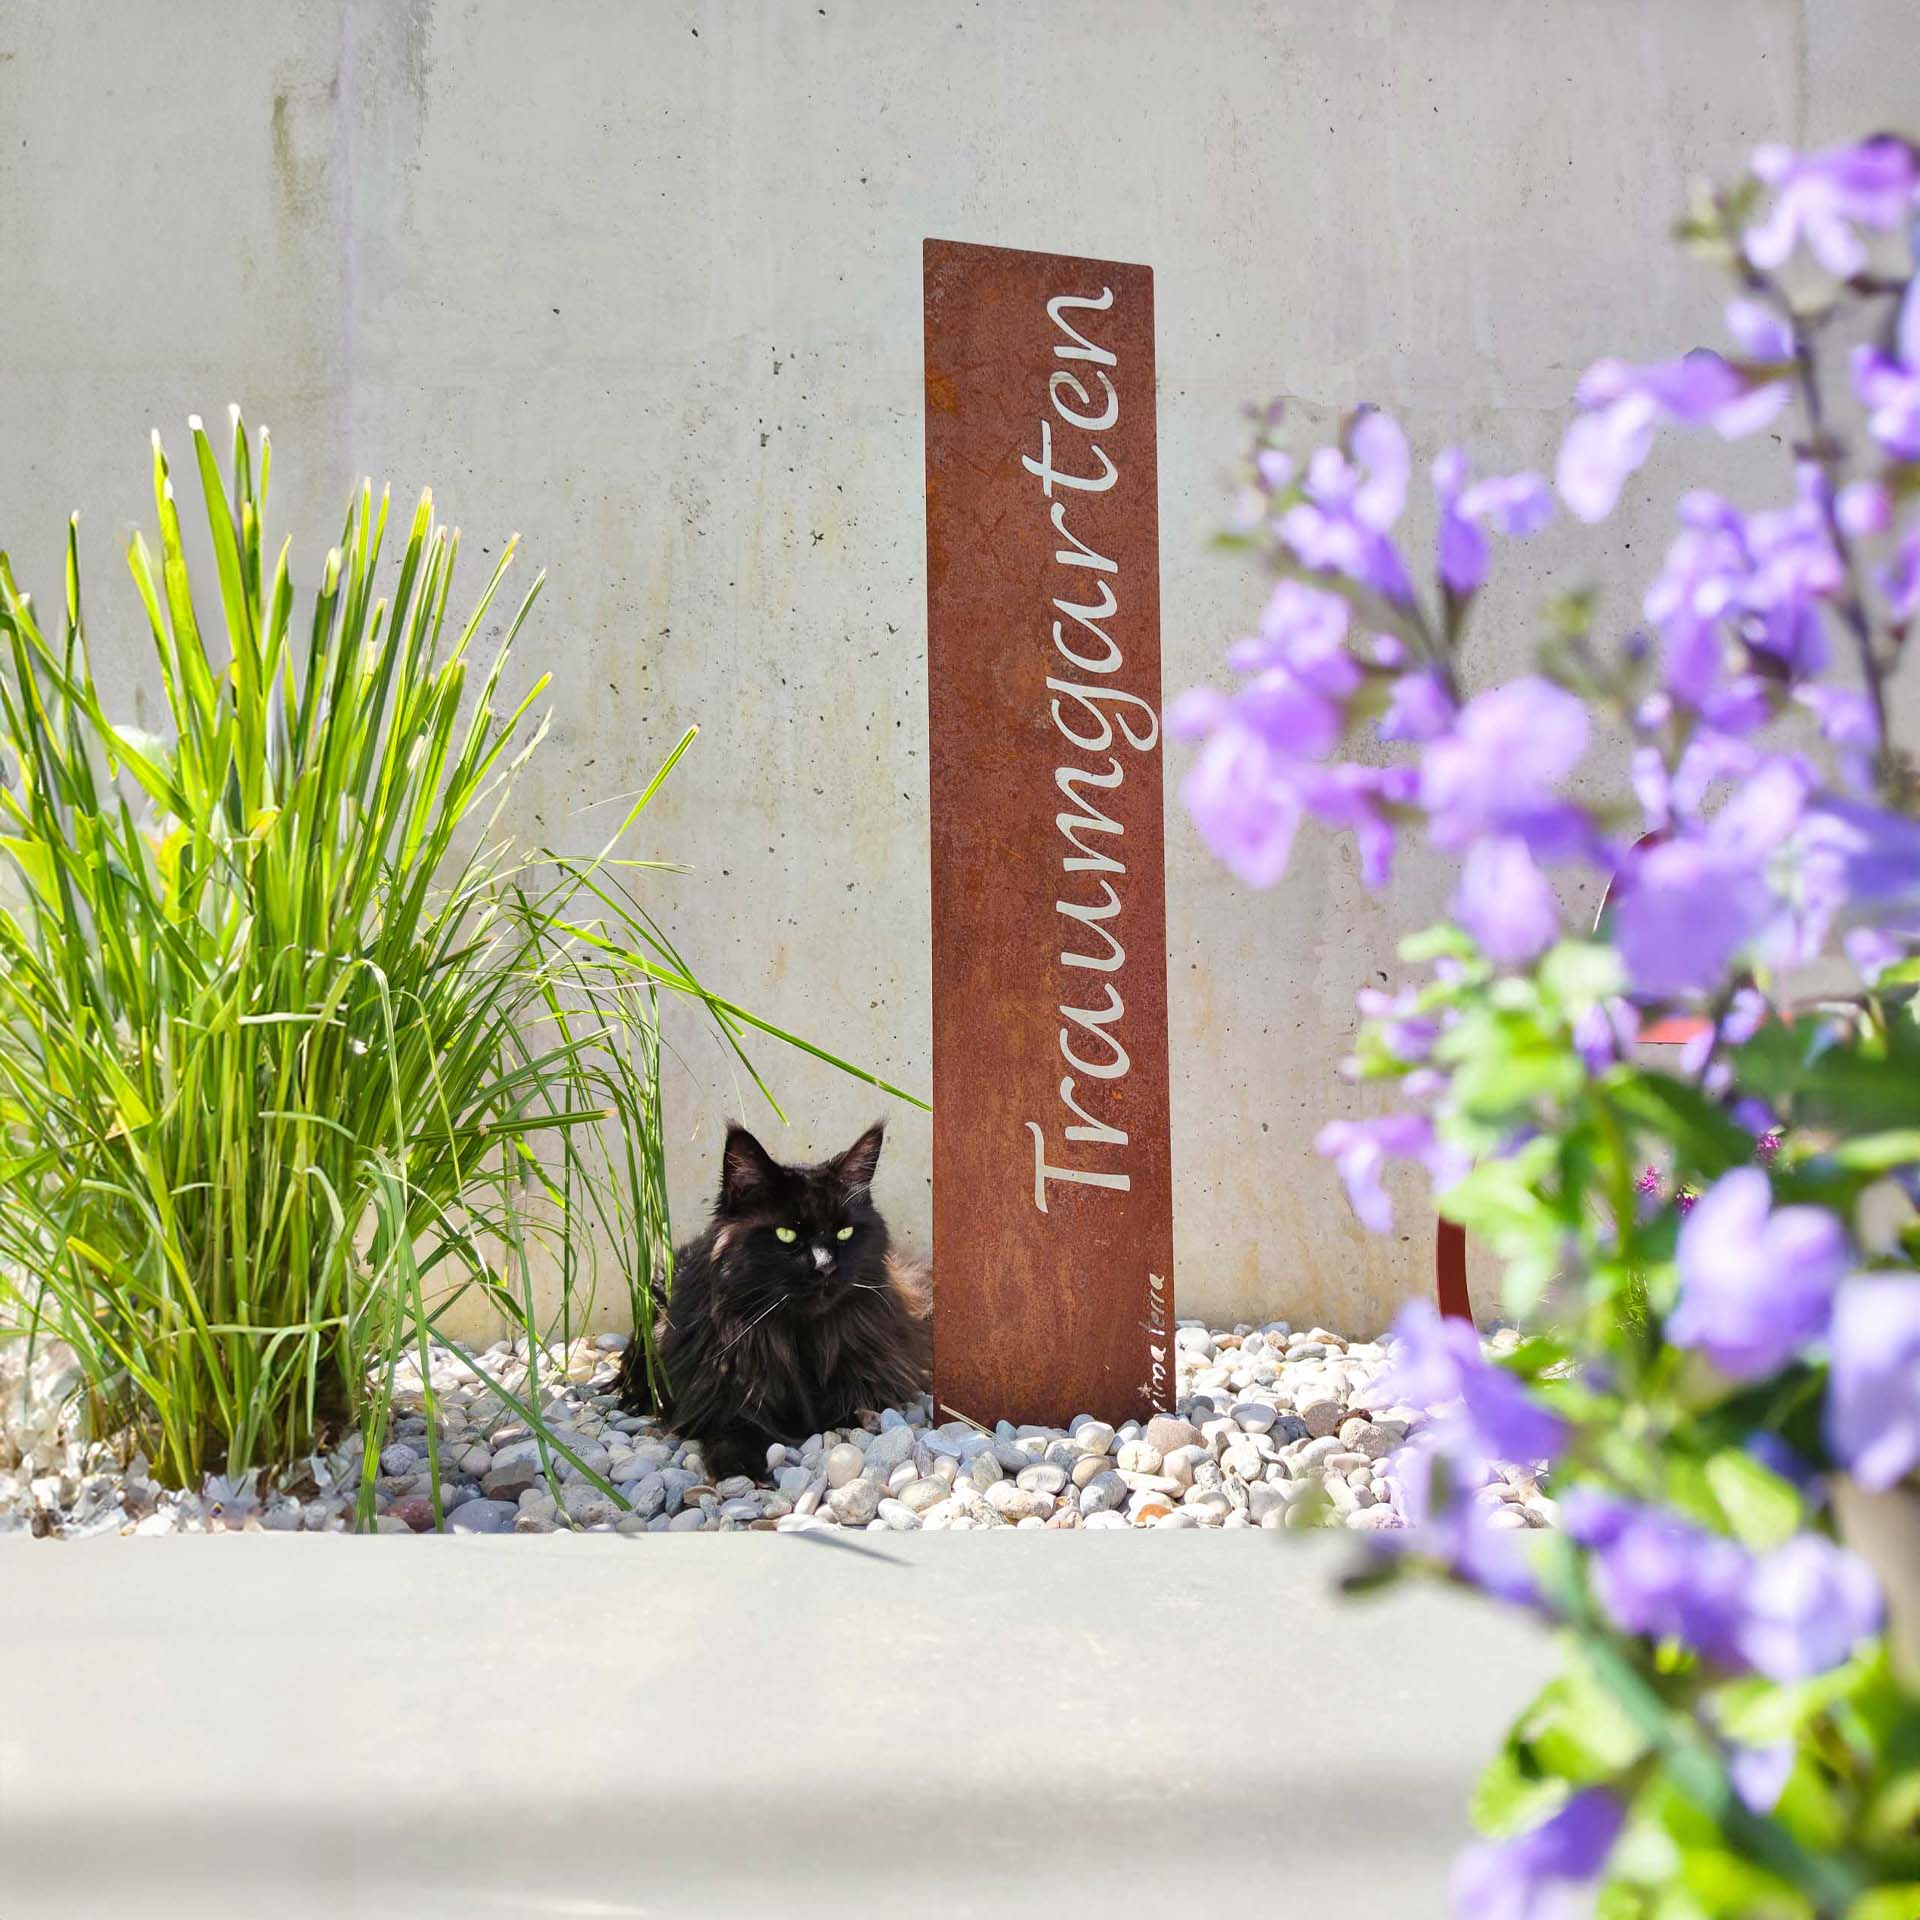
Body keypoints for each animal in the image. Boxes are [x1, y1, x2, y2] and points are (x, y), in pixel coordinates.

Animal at [618, 1121, 933, 1482]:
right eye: (786, 1234)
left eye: (844, 1233)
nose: (826, 1266)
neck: (800, 1338)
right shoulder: (722, 1393)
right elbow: (734, 1426)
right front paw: (740, 1464)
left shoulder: (874, 1378)